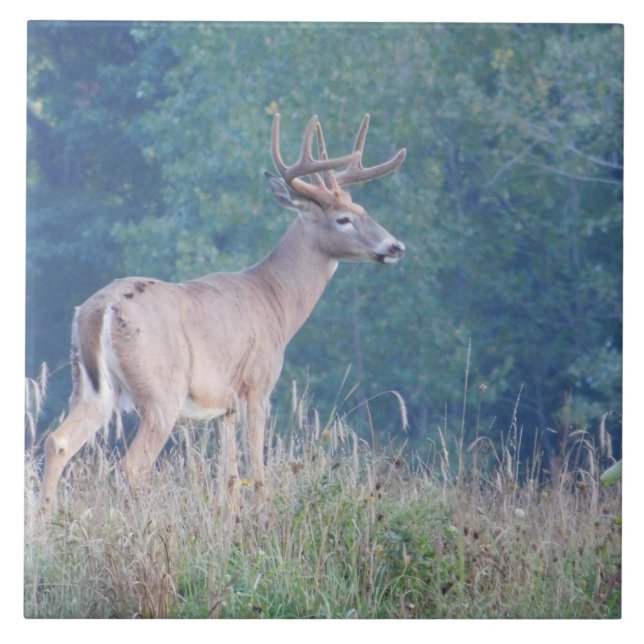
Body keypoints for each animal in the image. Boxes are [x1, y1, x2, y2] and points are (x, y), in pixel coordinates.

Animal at [40, 113, 406, 514]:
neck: (275, 300)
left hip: (91, 386)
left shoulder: (223, 406)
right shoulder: (258, 383)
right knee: (134, 464)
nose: (395, 246)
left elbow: (228, 479)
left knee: (58, 441)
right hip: (160, 390)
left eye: (363, 211)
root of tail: (99, 309)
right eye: (343, 219)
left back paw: (46, 517)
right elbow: (257, 470)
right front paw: (263, 515)